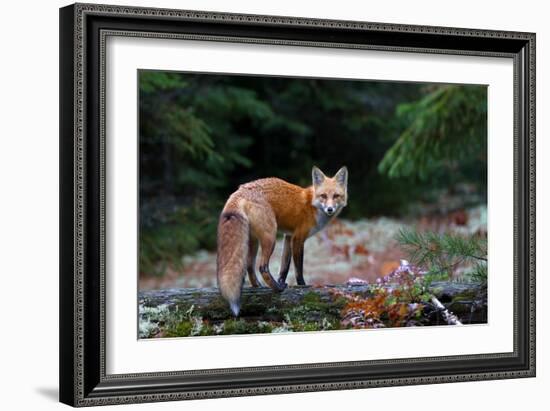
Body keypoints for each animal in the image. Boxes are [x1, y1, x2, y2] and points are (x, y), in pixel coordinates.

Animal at [217, 167, 350, 316]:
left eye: (336, 196)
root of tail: (240, 190)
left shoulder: (288, 237)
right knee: (262, 267)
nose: (330, 209)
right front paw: (302, 286)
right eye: (324, 196)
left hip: (254, 241)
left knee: (249, 265)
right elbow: (298, 268)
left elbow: (284, 267)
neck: (312, 205)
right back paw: (277, 288)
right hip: (271, 237)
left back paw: (259, 286)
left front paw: (282, 280)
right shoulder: (298, 238)